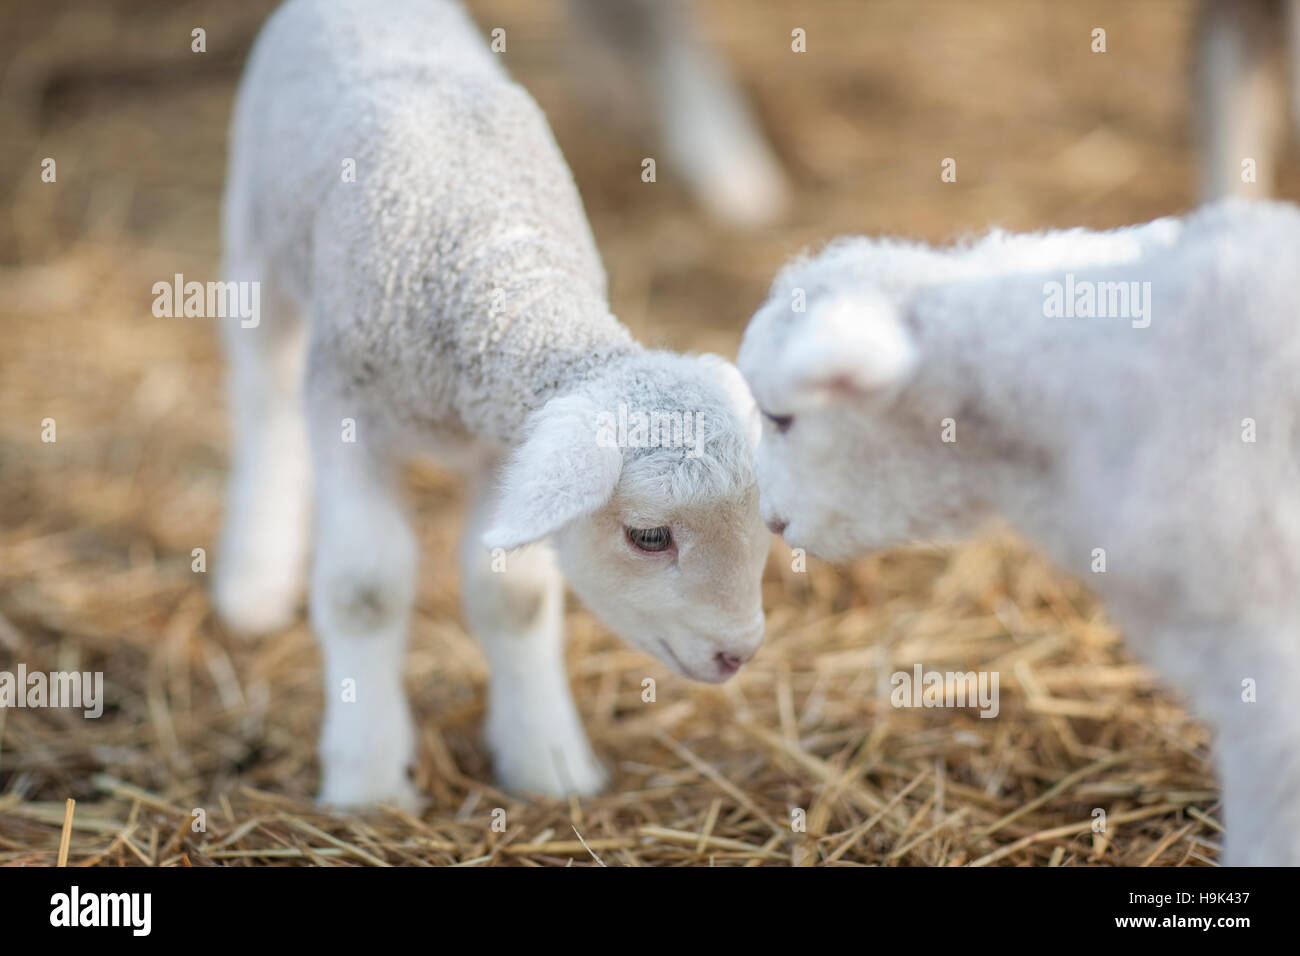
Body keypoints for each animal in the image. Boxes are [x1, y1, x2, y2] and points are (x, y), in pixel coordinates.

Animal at [208, 0, 764, 806]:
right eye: (650, 537)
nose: (738, 654)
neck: (492, 268)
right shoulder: (348, 409)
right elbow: (364, 588)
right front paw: (368, 784)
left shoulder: (509, 451)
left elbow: (517, 598)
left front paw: (549, 764)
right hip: (255, 239)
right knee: (266, 402)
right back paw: (252, 585)